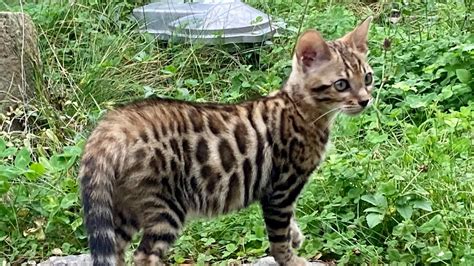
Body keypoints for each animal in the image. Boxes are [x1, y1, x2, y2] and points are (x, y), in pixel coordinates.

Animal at [78, 17, 374, 266]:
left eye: (368, 78)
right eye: (341, 84)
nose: (365, 100)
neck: (301, 109)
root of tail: (114, 125)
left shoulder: (278, 194)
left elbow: (289, 224)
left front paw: (296, 236)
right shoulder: (281, 190)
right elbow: (278, 238)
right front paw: (291, 259)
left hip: (122, 208)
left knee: (115, 249)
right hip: (166, 207)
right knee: (144, 255)